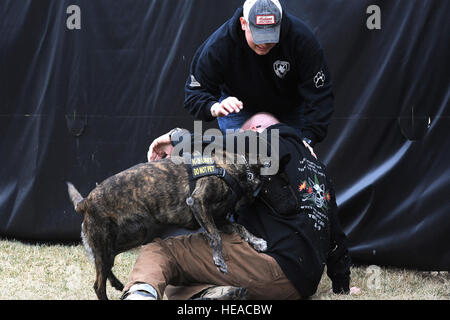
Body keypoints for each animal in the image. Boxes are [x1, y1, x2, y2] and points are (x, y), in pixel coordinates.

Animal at [66, 151, 292, 298]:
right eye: (283, 183)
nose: (296, 206)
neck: (239, 170)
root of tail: (86, 201)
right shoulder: (199, 202)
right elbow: (215, 237)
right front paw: (219, 259)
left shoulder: (219, 220)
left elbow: (240, 228)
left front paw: (257, 241)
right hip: (108, 243)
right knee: (98, 284)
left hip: (128, 239)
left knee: (102, 265)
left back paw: (115, 281)